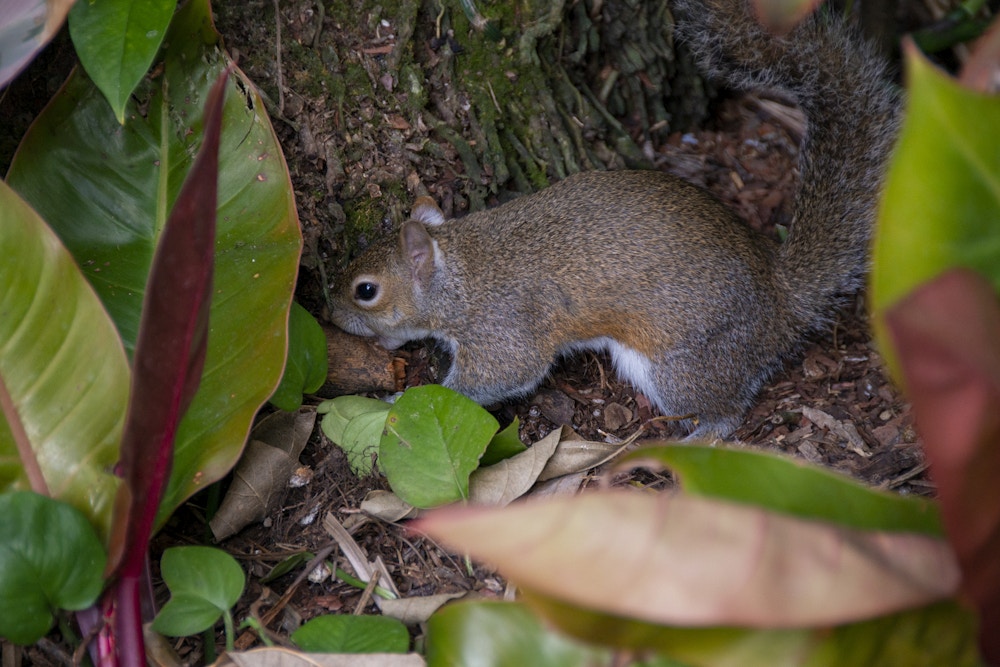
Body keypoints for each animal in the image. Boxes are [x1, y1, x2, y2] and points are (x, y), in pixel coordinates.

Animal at [326, 0, 900, 438]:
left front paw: (404, 401)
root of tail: (782, 300)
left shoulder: (502, 327)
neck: (462, 271)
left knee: (726, 410)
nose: (331, 315)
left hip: (682, 363)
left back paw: (696, 436)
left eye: (365, 291)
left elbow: (500, 374)